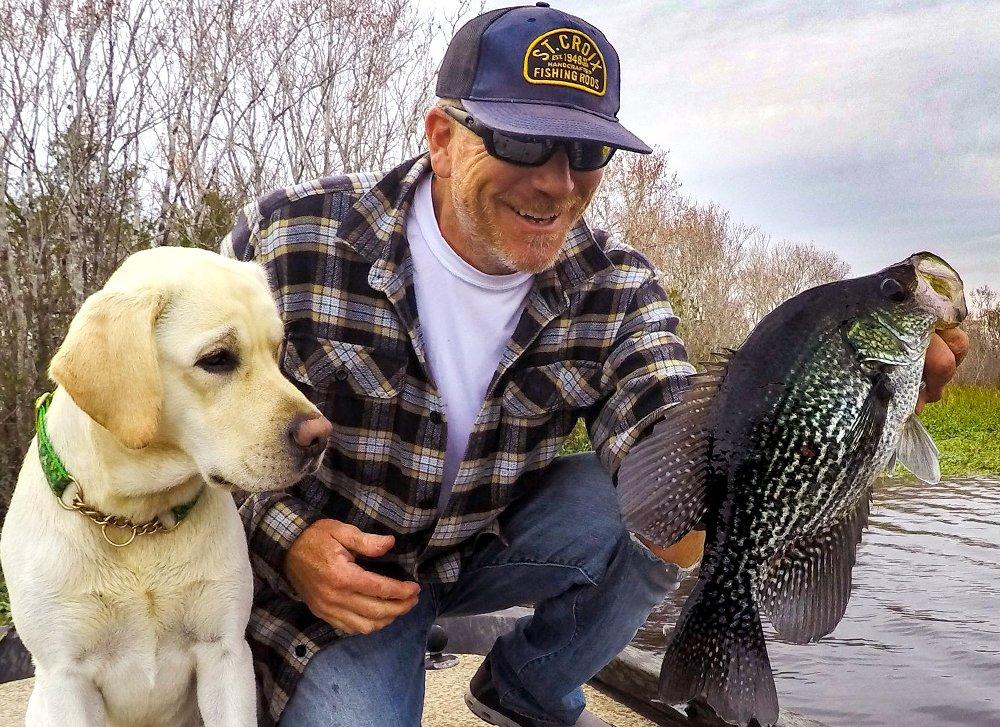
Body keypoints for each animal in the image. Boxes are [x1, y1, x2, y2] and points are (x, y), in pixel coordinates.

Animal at [0, 247, 332, 724]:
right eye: (217, 358)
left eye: (278, 350)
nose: (320, 436)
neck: (137, 520)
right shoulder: (66, 676)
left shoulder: (225, 653)